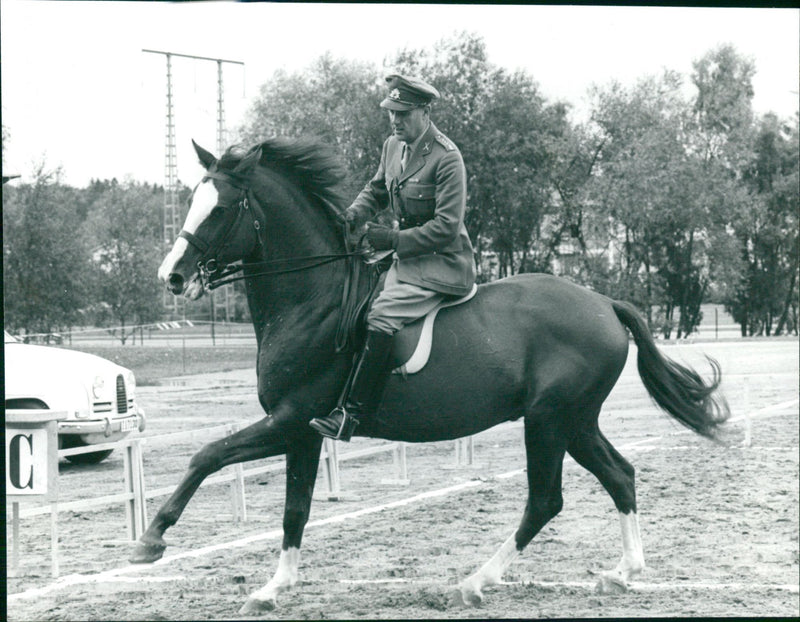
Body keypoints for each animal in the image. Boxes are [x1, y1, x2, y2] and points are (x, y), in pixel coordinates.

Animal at [131, 138, 732, 616]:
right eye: (192, 200)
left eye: (223, 208)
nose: (172, 276)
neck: (312, 299)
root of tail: (605, 303)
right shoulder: (302, 433)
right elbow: (293, 510)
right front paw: (273, 588)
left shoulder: (290, 420)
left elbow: (206, 456)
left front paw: (151, 540)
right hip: (576, 421)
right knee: (620, 476)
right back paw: (620, 574)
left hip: (548, 420)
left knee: (546, 499)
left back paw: (476, 582)